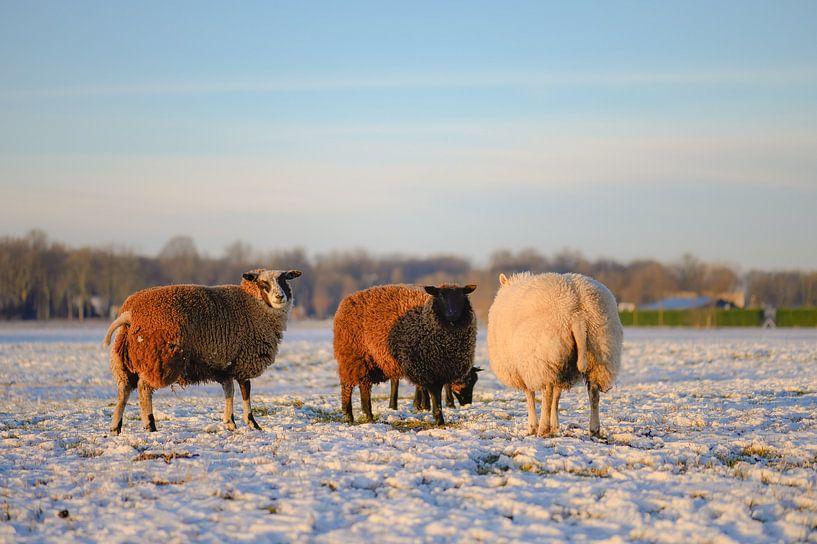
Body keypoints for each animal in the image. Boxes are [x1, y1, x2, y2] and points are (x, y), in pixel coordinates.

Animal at [102, 270, 300, 436]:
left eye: (284, 279)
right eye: (263, 283)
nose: (280, 296)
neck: (252, 304)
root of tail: (129, 315)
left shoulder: (225, 364)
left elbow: (229, 391)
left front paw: (230, 422)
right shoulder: (244, 361)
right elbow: (246, 391)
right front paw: (252, 423)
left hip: (124, 361)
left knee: (124, 390)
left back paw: (115, 427)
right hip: (160, 358)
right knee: (144, 388)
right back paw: (150, 425)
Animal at [334, 282, 478, 428]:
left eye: (461, 296)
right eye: (441, 295)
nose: (452, 314)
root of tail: (348, 299)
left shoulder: (441, 369)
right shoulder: (426, 368)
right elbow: (434, 396)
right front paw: (437, 418)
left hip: (370, 361)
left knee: (364, 386)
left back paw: (369, 417)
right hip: (352, 355)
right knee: (347, 386)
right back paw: (349, 416)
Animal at [484, 272, 620, 438]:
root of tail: (578, 311)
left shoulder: (525, 368)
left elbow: (530, 395)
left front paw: (533, 427)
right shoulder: (560, 367)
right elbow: (557, 395)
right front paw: (555, 427)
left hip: (543, 357)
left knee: (547, 394)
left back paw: (542, 429)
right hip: (600, 350)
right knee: (594, 393)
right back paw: (594, 430)